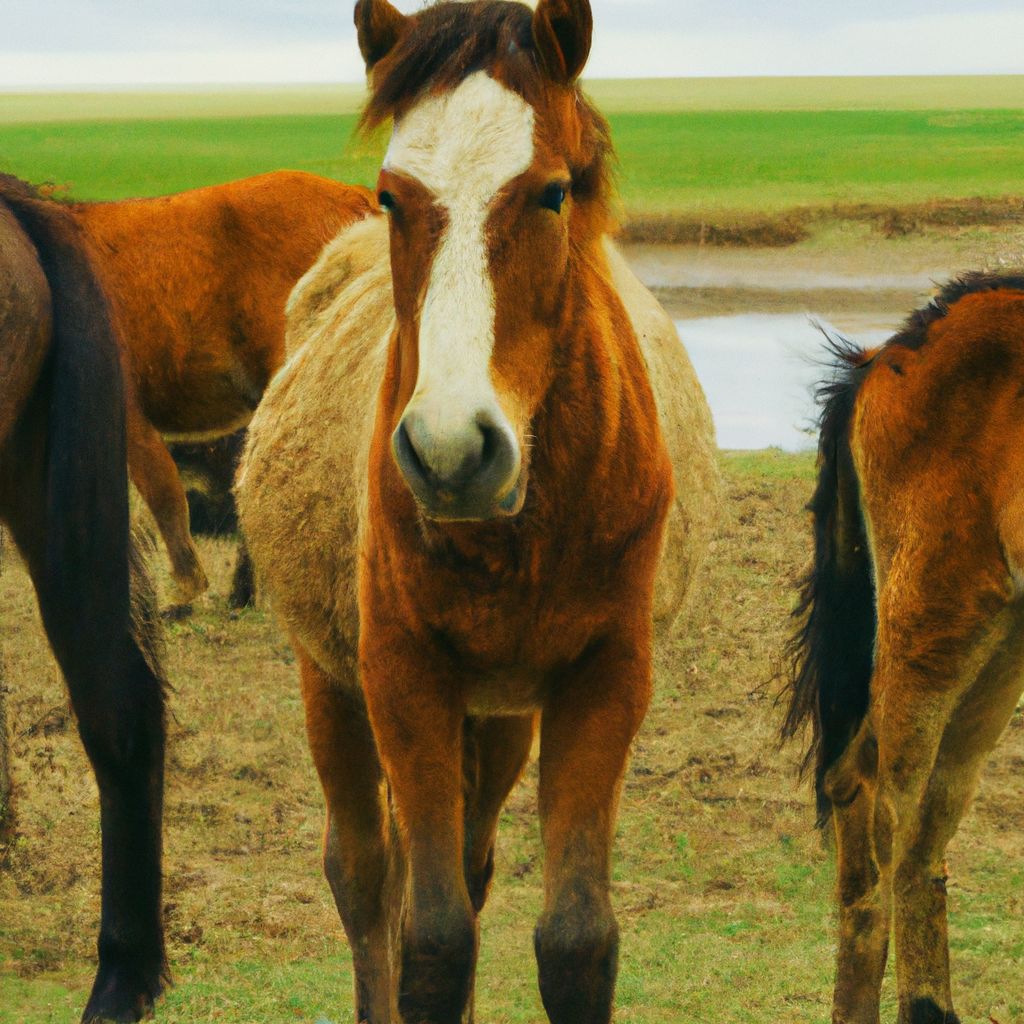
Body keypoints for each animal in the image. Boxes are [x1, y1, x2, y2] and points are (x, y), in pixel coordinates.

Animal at [237, 2, 720, 1024]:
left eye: (552, 193)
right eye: (390, 196)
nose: (453, 449)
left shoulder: (602, 680)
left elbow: (575, 939)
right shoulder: (402, 678)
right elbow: (431, 938)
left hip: (498, 717)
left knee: (468, 859)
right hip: (330, 683)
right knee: (365, 876)